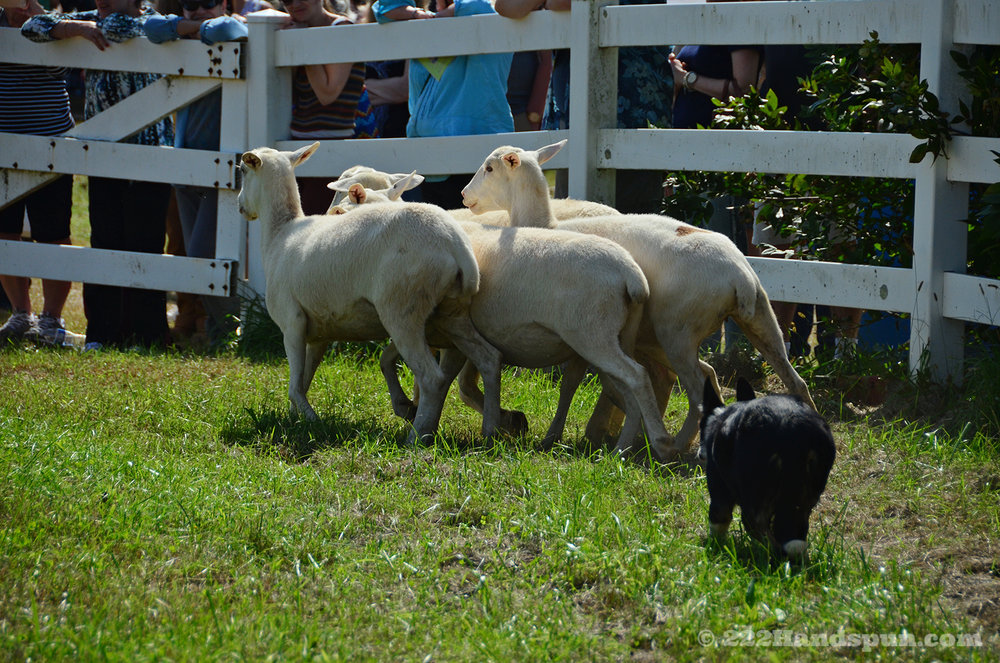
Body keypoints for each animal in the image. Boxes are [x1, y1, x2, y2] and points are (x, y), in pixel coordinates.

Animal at [238, 145, 504, 446]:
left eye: (242, 170)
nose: (240, 206)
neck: (280, 233)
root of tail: (455, 245)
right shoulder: (319, 332)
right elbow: (304, 380)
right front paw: (295, 420)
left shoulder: (291, 321)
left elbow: (295, 387)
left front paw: (313, 423)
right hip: (452, 312)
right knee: (489, 359)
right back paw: (492, 432)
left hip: (402, 309)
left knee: (432, 377)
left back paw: (417, 438)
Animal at [328, 182, 680, 462]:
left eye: (342, 212)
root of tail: (631, 275)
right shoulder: (441, 334)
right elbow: (396, 362)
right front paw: (417, 411)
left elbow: (450, 381)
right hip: (615, 337)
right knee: (625, 385)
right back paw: (619, 446)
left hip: (594, 336)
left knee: (636, 378)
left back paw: (655, 444)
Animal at [464, 142, 816, 456]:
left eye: (489, 168)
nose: (465, 195)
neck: (544, 224)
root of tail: (740, 276)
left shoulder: (583, 332)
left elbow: (579, 382)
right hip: (759, 316)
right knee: (794, 380)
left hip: (676, 331)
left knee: (695, 392)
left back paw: (675, 446)